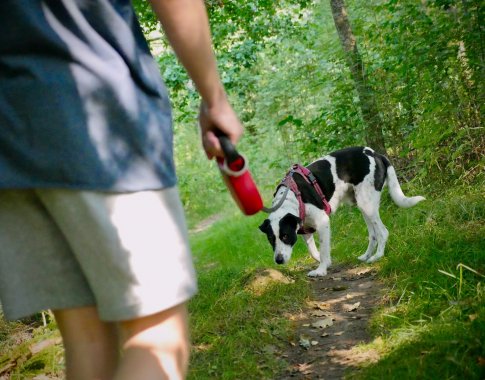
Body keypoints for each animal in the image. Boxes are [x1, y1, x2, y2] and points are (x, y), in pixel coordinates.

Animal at [258, 145, 424, 276]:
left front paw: (321, 270)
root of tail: (375, 154)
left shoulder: (323, 222)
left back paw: (377, 257)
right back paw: (366, 256)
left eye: (285, 236)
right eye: (271, 239)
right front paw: (324, 262)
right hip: (363, 205)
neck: (293, 197)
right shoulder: (305, 229)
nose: (278, 260)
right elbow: (314, 251)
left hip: (367, 204)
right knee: (373, 234)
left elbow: (324, 249)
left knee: (383, 232)